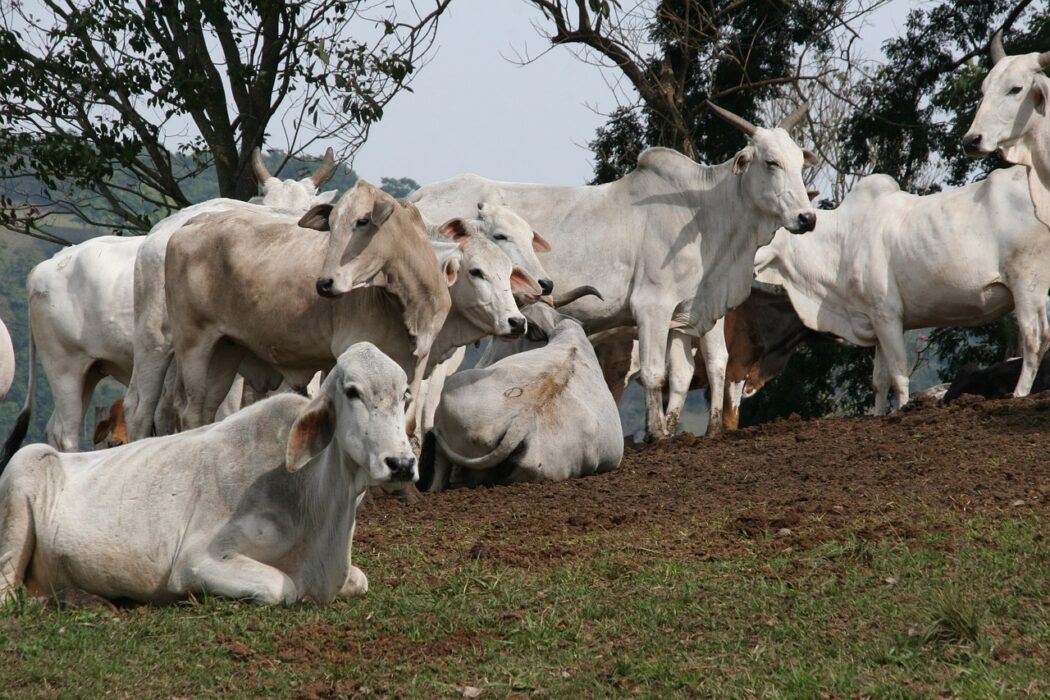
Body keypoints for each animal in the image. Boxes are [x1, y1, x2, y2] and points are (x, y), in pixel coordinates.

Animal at [0, 342, 417, 604]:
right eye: (352, 392)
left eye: (405, 394)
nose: (401, 463)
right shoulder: (199, 559)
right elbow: (281, 586)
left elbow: (360, 580)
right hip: (21, 480)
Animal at [411, 101, 818, 440]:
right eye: (771, 162)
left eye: (800, 164)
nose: (807, 218)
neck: (705, 214)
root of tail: (418, 198)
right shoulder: (652, 306)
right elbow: (655, 373)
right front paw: (657, 434)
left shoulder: (696, 310)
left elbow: (706, 366)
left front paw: (711, 431)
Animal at [755, 166, 1050, 413]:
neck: (842, 240)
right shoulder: (875, 320)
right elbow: (879, 381)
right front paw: (877, 416)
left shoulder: (888, 315)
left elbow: (898, 376)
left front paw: (902, 411)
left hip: (1027, 284)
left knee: (1034, 339)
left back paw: (1019, 394)